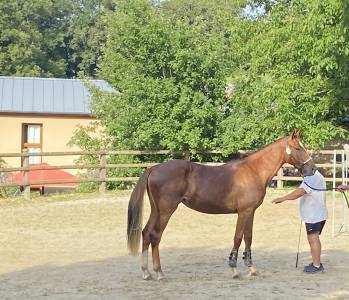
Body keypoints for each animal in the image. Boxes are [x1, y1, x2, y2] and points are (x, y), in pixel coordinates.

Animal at [126, 130, 314, 280]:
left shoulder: (250, 212)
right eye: (299, 148)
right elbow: (238, 237)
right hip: (166, 211)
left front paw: (251, 268)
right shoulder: (243, 212)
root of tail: (153, 168)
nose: (311, 169)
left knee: (146, 233)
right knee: (155, 236)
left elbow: (248, 237)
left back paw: (146, 272)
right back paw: (159, 273)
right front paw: (234, 269)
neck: (253, 171)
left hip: (156, 210)